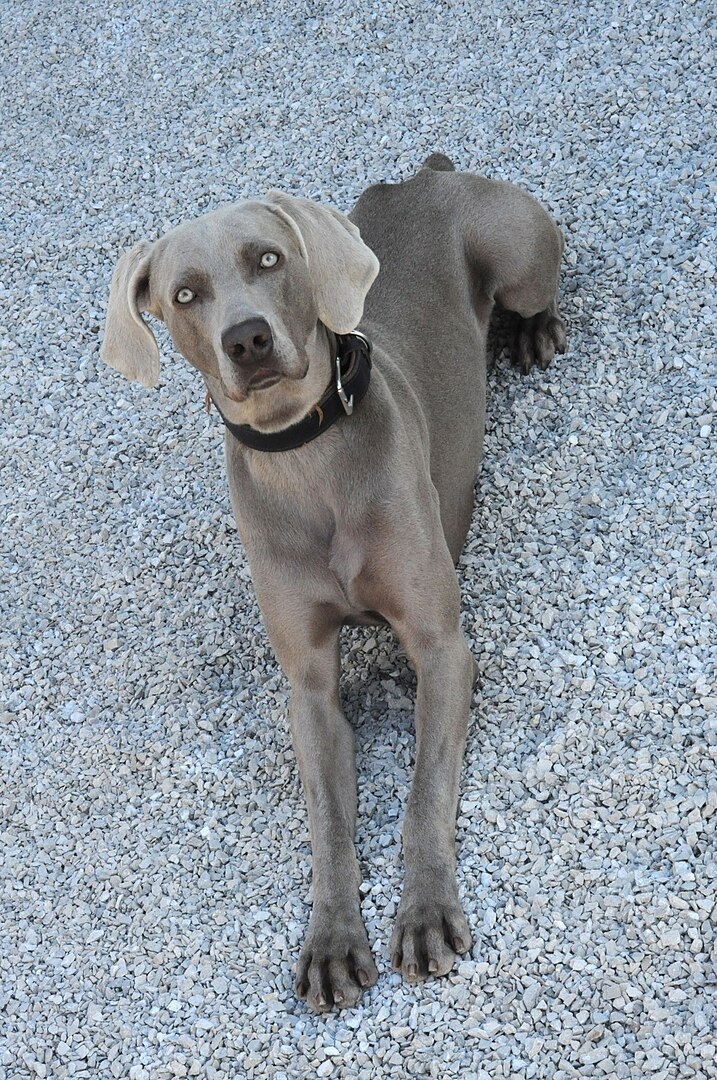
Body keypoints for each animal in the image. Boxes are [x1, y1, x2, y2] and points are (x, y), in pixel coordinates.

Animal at [103, 154, 570, 1010]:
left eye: (267, 258)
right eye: (184, 294)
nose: (247, 338)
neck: (307, 458)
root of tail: (427, 172)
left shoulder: (441, 647)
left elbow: (423, 793)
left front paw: (424, 915)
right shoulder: (310, 688)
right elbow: (327, 821)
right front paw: (329, 942)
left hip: (518, 253)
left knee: (537, 289)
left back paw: (532, 331)